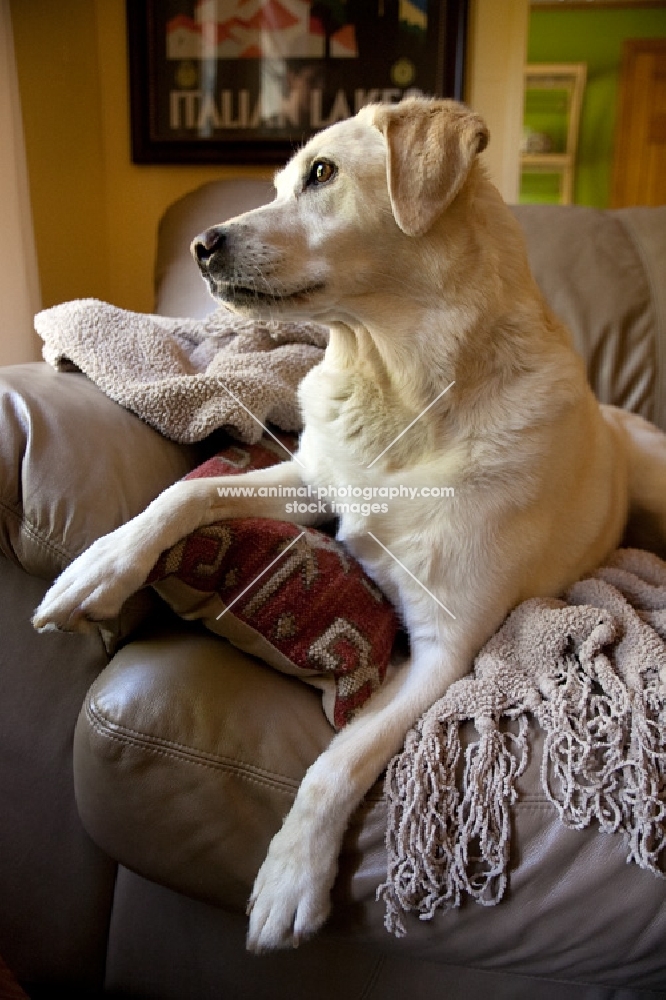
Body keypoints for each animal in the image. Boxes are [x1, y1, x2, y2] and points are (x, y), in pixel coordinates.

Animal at [32, 101, 664, 952]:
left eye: (323, 173)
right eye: (276, 183)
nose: (203, 246)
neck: (398, 388)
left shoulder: (444, 649)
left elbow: (337, 761)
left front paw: (288, 880)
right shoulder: (312, 482)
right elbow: (182, 498)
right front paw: (93, 571)